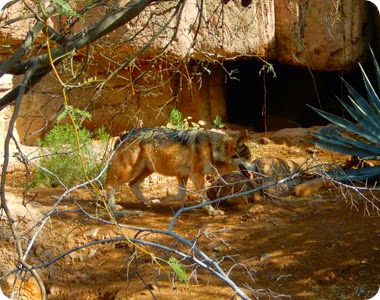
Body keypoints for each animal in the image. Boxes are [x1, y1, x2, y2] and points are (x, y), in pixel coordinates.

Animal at [105, 127, 251, 214]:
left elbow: (180, 195)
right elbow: (204, 197)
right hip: (130, 171)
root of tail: (122, 136)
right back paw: (113, 207)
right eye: (247, 157)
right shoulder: (196, 176)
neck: (212, 148)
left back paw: (147, 201)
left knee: (133, 184)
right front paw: (212, 212)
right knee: (109, 185)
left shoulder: (182, 175)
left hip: (146, 170)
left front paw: (164, 199)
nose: (254, 167)